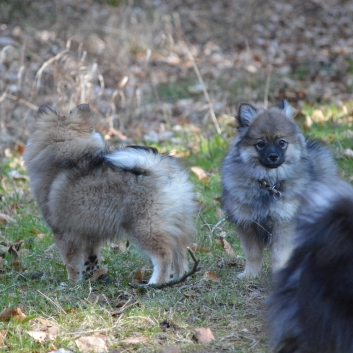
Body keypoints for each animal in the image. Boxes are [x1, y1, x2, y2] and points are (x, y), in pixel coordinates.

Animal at [23, 104, 197, 284]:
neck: (65, 157)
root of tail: (161, 169)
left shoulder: (64, 233)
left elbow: (71, 263)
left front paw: (72, 282)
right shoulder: (89, 232)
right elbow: (91, 258)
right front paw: (92, 275)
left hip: (146, 228)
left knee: (164, 256)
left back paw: (154, 284)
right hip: (178, 225)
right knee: (180, 254)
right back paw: (178, 278)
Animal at [223, 99, 336, 278]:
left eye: (281, 143)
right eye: (260, 144)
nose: (273, 156)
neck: (268, 184)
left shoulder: (283, 224)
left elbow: (279, 255)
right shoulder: (248, 224)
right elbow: (253, 254)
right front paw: (249, 275)